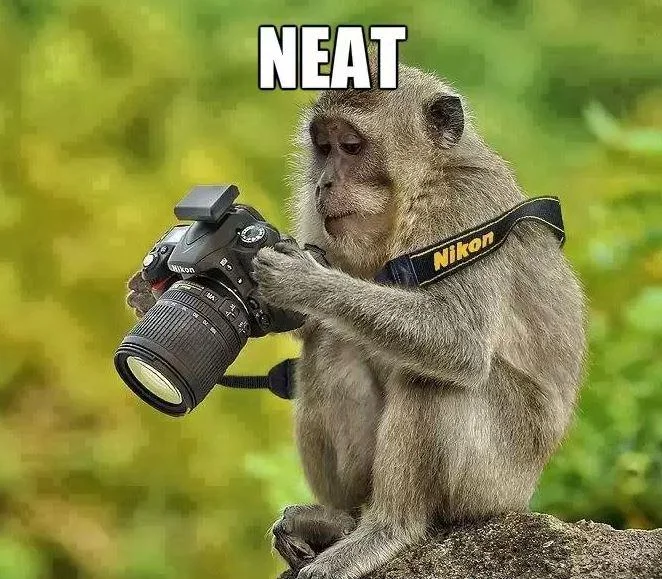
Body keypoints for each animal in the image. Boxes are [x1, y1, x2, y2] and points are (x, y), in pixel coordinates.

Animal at [124, 63, 586, 579]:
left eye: (351, 145)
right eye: (323, 148)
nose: (324, 183)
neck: (418, 190)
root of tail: (523, 496)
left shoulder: (465, 208)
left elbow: (458, 341)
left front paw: (305, 280)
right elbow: (309, 327)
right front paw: (147, 289)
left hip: (496, 479)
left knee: (432, 378)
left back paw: (388, 529)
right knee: (333, 347)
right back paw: (338, 521)